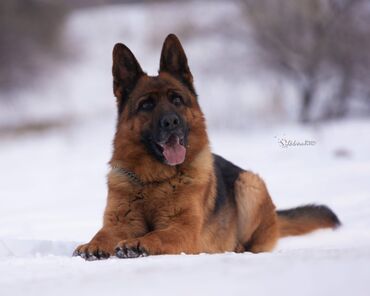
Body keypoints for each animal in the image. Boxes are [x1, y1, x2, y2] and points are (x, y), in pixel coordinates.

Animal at [73, 34, 342, 260]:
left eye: (177, 99)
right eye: (146, 105)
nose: (171, 122)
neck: (154, 180)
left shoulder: (182, 230)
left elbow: (156, 235)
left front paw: (138, 243)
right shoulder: (119, 223)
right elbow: (103, 233)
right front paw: (93, 244)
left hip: (250, 184)